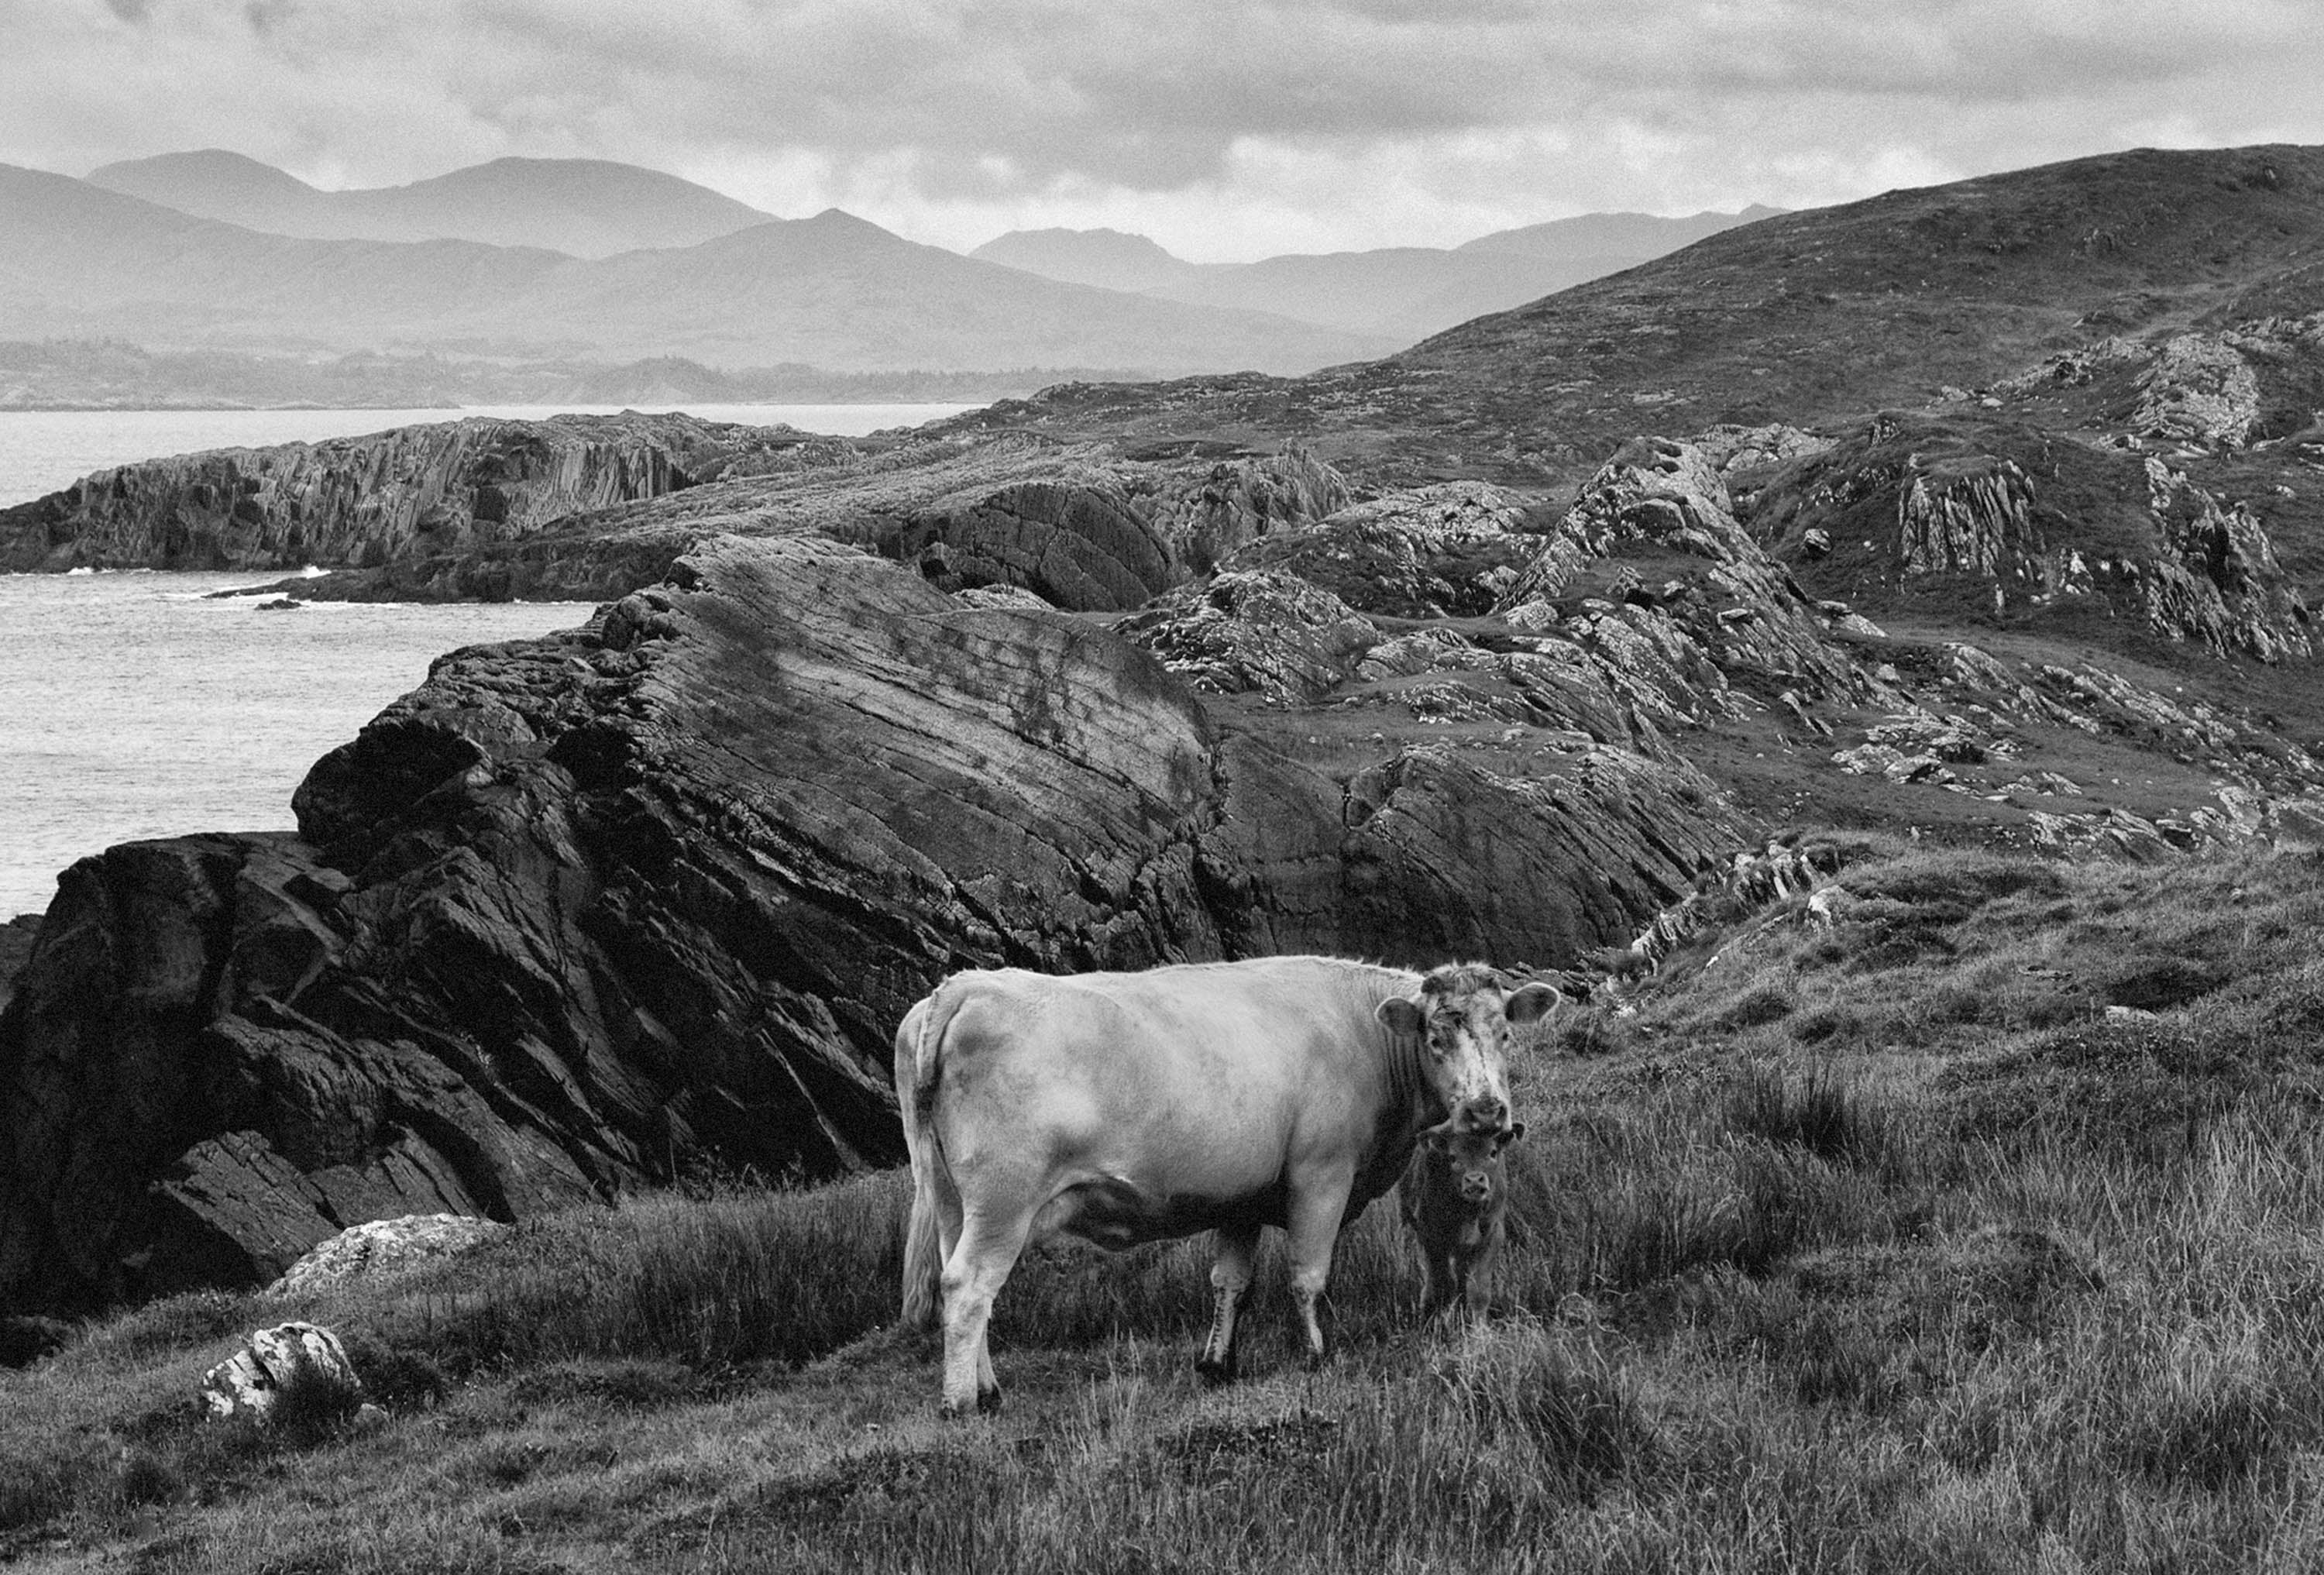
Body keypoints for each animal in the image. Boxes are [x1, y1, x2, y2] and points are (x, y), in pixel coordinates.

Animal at [1400, 1121, 1525, 1320]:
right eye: (1453, 1157)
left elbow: (1478, 1290)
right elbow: (1442, 1282)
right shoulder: (1432, 1239)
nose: (1474, 1181)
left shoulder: (1491, 1236)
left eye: (1492, 1152)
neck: (1469, 1214)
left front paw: (1479, 1326)